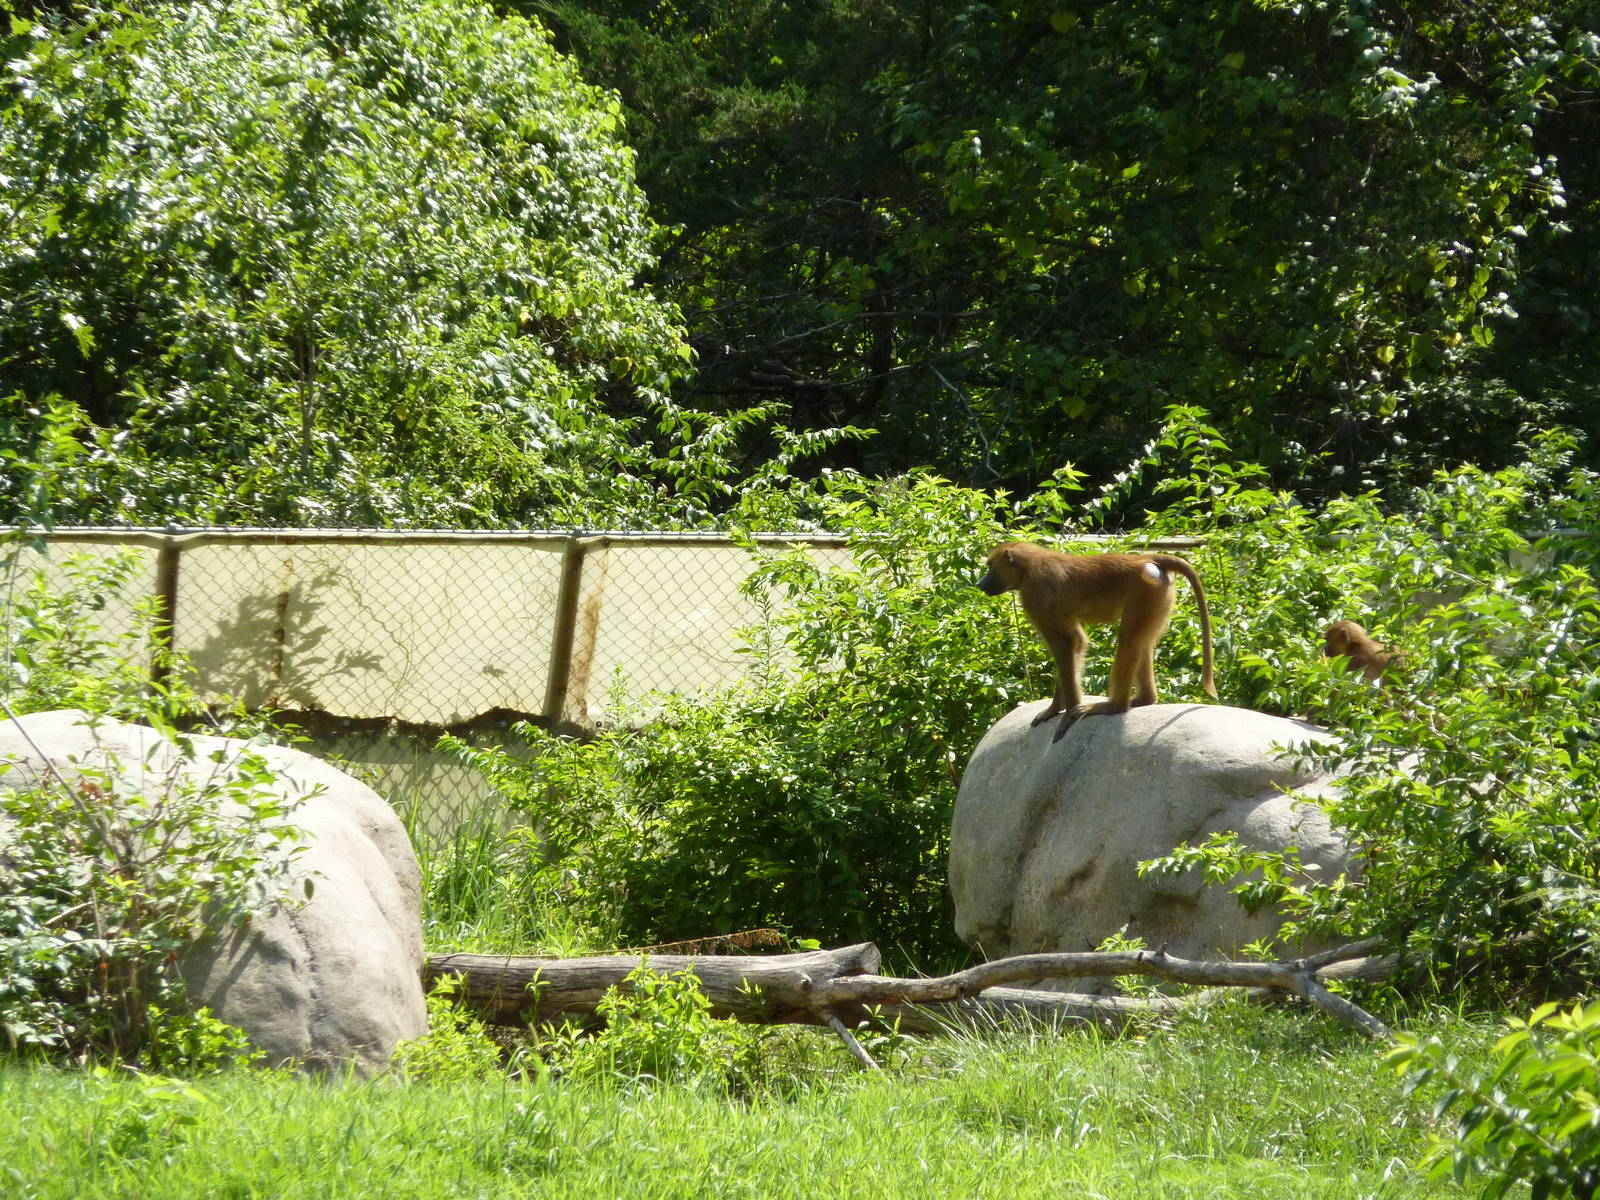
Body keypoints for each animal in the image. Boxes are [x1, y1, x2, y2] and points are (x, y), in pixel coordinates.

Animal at [977, 541, 1217, 738]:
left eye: (990, 567)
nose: (980, 583)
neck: (1029, 567)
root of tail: (1143, 559)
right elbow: (1074, 643)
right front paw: (1056, 708)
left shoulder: (1036, 595)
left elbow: (1069, 643)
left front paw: (1065, 712)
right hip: (1157, 594)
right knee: (1142, 641)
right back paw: (1144, 700)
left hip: (1144, 591)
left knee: (1129, 640)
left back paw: (1115, 706)